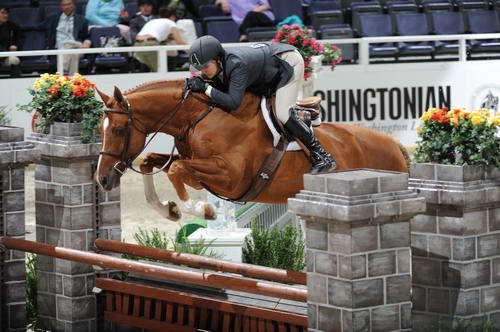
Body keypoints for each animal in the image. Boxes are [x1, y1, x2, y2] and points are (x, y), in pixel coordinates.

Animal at [94, 79, 410, 222]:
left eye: (118, 130)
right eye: (100, 129)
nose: (103, 179)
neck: (196, 116)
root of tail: (395, 145)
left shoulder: (231, 177)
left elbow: (177, 170)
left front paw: (202, 209)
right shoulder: (193, 159)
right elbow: (151, 161)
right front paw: (169, 210)